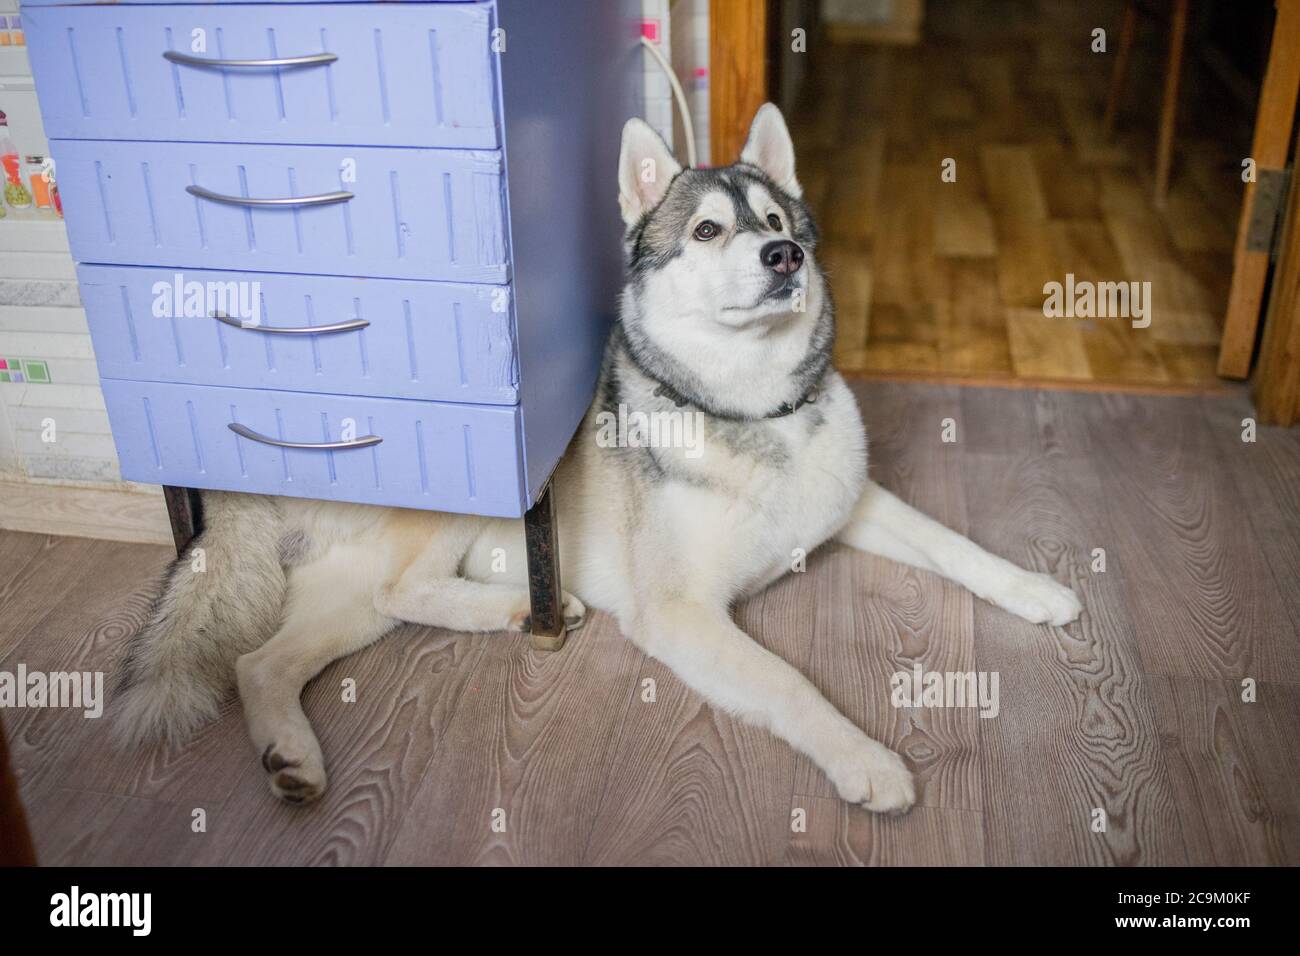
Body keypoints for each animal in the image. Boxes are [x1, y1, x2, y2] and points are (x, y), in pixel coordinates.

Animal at [116, 110, 1081, 816]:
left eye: (776, 222)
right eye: (707, 230)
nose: (786, 256)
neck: (747, 407)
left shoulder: (855, 503)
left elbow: (953, 542)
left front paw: (1034, 589)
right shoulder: (683, 614)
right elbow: (791, 681)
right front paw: (863, 757)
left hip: (342, 601)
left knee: (266, 661)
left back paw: (294, 754)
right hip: (477, 489)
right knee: (401, 588)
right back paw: (524, 609)